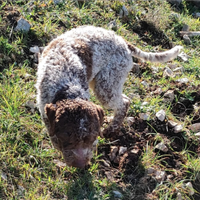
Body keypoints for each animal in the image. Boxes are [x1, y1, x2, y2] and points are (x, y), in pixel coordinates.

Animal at [36, 25, 183, 169]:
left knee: (124, 102)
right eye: (67, 138)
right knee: (124, 99)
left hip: (106, 84)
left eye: (92, 138)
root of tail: (124, 43)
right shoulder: (44, 106)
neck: (67, 84)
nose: (82, 165)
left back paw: (111, 130)